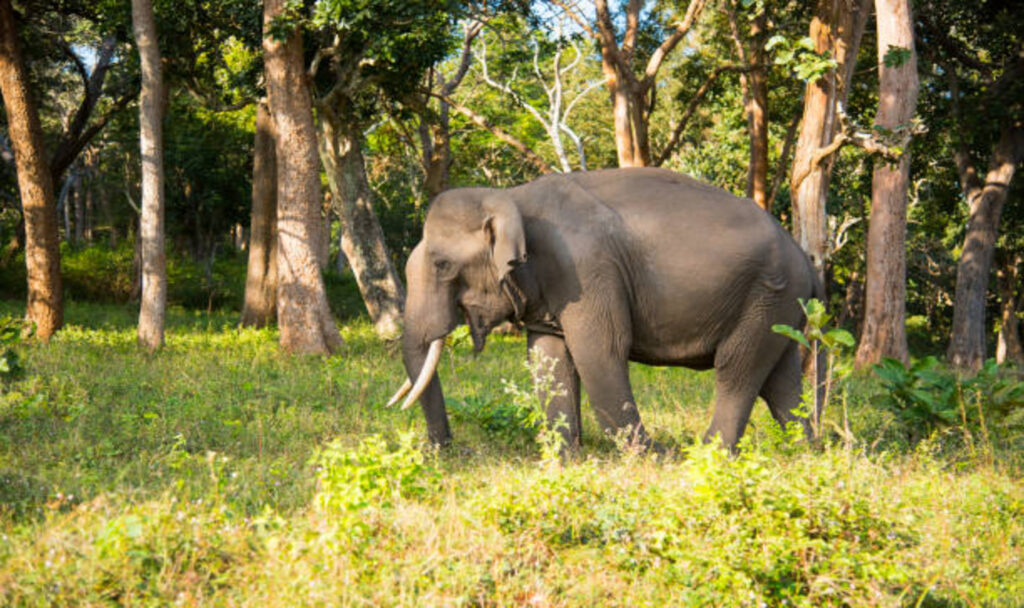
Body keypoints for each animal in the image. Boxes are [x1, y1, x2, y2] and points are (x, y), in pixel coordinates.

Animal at [387, 165, 819, 450]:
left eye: (442, 265)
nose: (444, 449)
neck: (511, 196)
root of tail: (806, 260)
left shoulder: (587, 270)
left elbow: (601, 350)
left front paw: (651, 457)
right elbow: (548, 358)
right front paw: (565, 457)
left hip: (769, 293)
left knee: (736, 369)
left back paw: (705, 454)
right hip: (778, 308)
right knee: (779, 380)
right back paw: (805, 450)